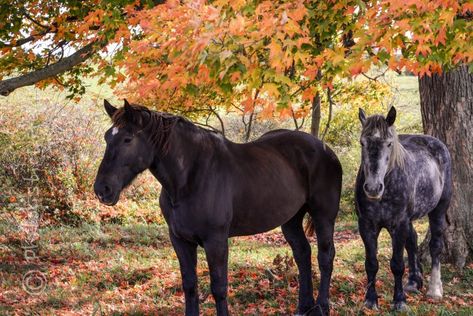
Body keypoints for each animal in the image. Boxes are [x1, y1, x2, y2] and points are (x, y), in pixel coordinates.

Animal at [356, 107, 452, 312]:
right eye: (362, 142)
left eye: (389, 144)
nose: (373, 188)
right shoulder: (366, 225)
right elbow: (371, 264)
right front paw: (370, 300)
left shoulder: (398, 225)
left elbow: (397, 264)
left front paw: (399, 300)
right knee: (413, 241)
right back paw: (414, 281)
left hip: (438, 210)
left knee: (435, 246)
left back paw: (434, 289)